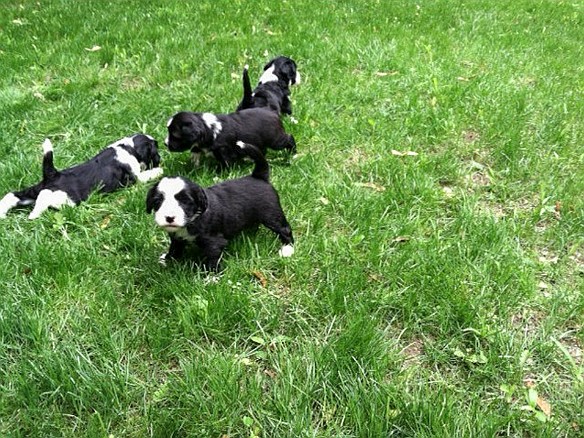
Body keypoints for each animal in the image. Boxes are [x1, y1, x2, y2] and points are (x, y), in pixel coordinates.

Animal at [0, 133, 162, 221]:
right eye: (155, 149)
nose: (160, 159)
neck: (128, 148)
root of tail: (53, 174)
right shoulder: (136, 178)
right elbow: (147, 174)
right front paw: (159, 170)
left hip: (32, 191)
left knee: (12, 195)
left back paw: (2, 213)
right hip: (65, 199)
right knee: (45, 197)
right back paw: (34, 214)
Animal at [144, 141, 294, 270]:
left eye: (185, 201)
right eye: (158, 201)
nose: (169, 218)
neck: (194, 218)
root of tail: (258, 176)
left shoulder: (214, 242)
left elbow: (212, 259)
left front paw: (211, 277)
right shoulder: (177, 236)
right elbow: (175, 247)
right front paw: (168, 259)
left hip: (271, 215)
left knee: (284, 229)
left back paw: (287, 249)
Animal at [165, 107, 296, 169]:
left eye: (175, 135)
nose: (165, 144)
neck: (207, 127)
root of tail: (272, 111)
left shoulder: (224, 149)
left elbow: (225, 162)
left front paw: (219, 172)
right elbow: (195, 150)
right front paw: (194, 164)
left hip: (275, 139)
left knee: (289, 138)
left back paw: (293, 154)